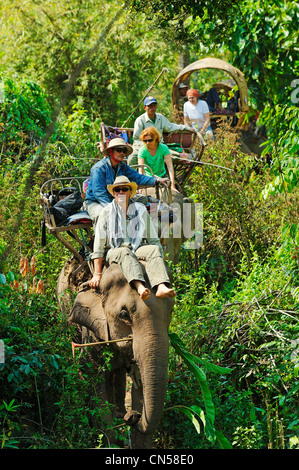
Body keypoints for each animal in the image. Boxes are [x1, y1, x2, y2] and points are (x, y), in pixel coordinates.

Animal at [56, 258, 176, 450]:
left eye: (171, 311)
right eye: (124, 314)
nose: (133, 416)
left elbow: (139, 380)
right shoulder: (92, 333)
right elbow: (92, 377)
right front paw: (111, 441)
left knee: (117, 372)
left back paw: (118, 411)